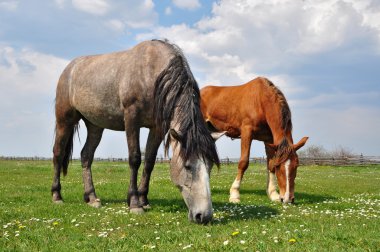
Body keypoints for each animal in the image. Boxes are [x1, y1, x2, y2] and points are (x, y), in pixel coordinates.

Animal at [50, 39, 220, 224]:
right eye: (188, 166)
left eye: (210, 166)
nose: (204, 216)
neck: (152, 74)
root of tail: (69, 68)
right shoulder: (131, 120)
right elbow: (135, 159)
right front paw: (134, 203)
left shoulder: (157, 128)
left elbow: (149, 162)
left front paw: (144, 200)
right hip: (65, 120)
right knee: (58, 153)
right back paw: (57, 196)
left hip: (95, 125)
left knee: (86, 156)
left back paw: (92, 198)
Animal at [200, 77, 308, 205]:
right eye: (279, 167)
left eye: (297, 165)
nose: (287, 199)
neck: (261, 101)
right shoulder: (247, 132)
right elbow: (243, 162)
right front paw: (235, 194)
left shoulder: (269, 140)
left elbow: (270, 165)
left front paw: (273, 194)